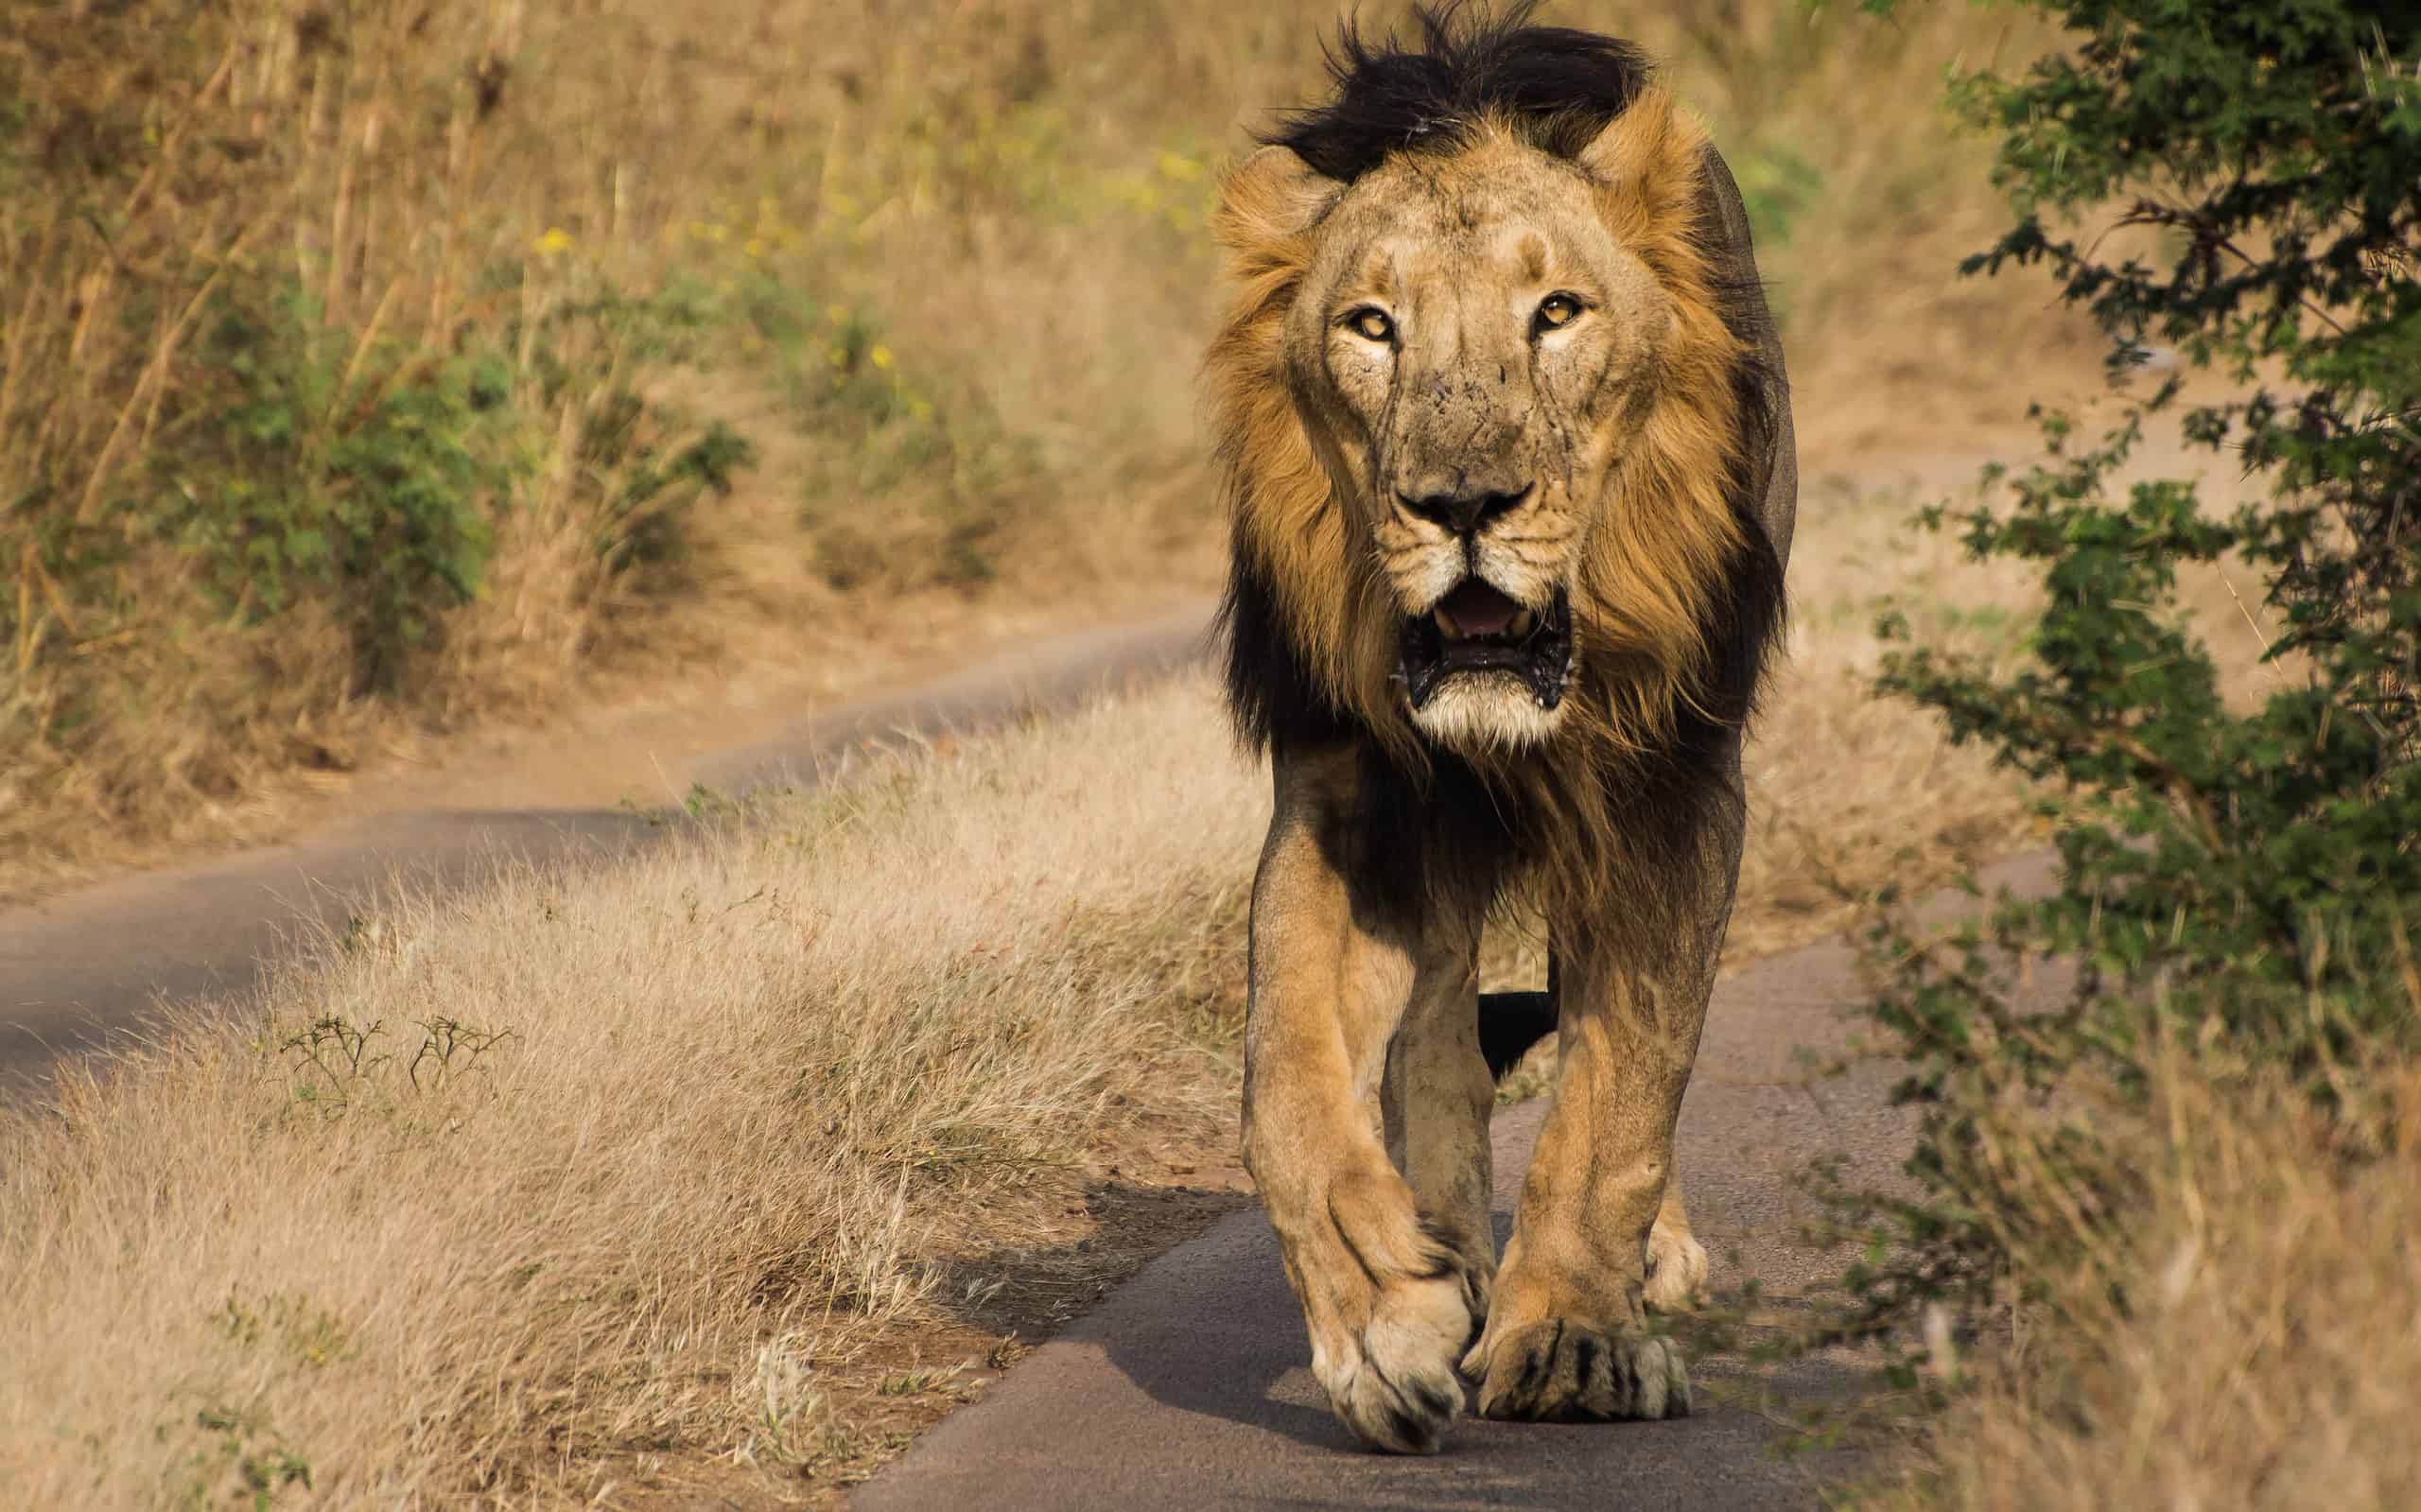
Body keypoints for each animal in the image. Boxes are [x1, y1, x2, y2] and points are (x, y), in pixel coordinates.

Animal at [1206, 4, 1796, 1454]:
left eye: (1557, 313)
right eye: (1370, 326)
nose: (1462, 503)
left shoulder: (1672, 784)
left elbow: (1626, 1078)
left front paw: (1577, 1334)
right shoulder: (1345, 785)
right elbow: (1283, 1089)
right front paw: (1383, 1320)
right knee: (1434, 1032)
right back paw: (1450, 1242)